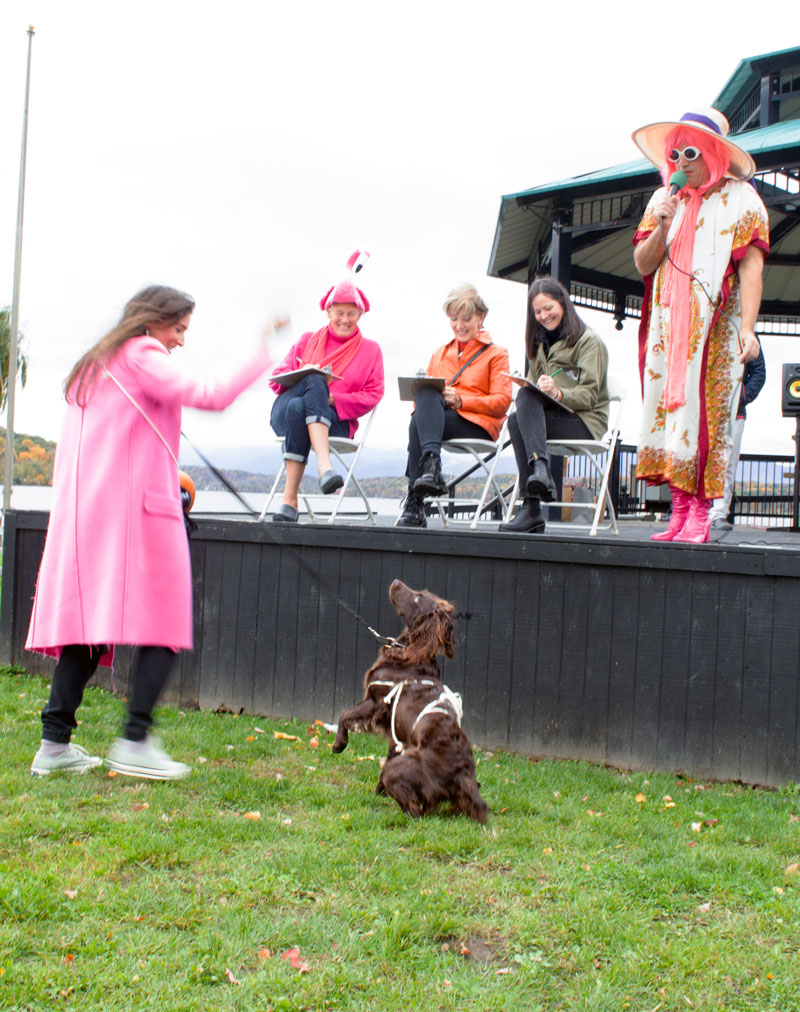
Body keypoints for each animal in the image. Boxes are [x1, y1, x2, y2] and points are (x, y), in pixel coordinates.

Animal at [331, 578, 487, 821]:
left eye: (418, 597)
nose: (395, 581)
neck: (410, 652)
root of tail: (461, 776)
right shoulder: (396, 733)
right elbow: (388, 754)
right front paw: (379, 791)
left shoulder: (376, 701)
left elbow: (344, 715)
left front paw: (339, 745)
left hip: (404, 770)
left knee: (415, 810)